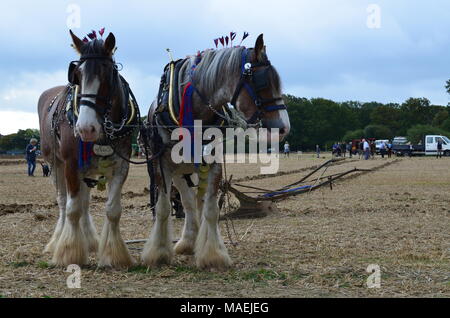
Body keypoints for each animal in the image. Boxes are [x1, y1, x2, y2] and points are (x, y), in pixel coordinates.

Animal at [37, 29, 136, 268]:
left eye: (108, 73)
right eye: (77, 75)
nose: (85, 128)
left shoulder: (121, 166)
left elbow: (112, 210)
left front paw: (114, 254)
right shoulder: (72, 164)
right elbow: (72, 209)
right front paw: (69, 252)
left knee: (85, 202)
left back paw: (89, 241)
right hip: (55, 164)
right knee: (64, 202)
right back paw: (58, 240)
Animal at [144, 34, 292, 268]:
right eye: (263, 83)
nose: (284, 128)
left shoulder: (212, 164)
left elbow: (211, 209)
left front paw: (213, 254)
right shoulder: (163, 166)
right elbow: (163, 207)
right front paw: (157, 253)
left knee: (197, 202)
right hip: (179, 171)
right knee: (187, 201)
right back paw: (188, 241)